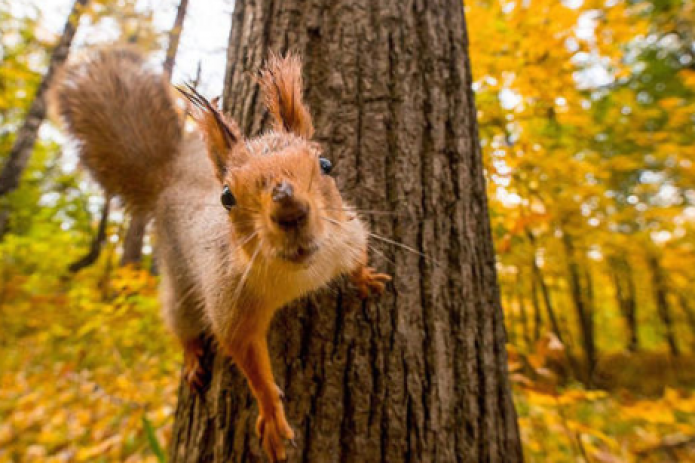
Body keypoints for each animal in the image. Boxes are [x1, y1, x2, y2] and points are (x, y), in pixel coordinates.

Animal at [53, 47, 392, 460]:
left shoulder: (345, 235)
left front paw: (366, 277)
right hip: (179, 280)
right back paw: (192, 356)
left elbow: (359, 253)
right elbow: (245, 353)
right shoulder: (229, 297)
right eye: (227, 197)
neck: (299, 274)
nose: (289, 210)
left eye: (326, 165)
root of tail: (166, 181)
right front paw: (271, 415)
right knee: (181, 320)